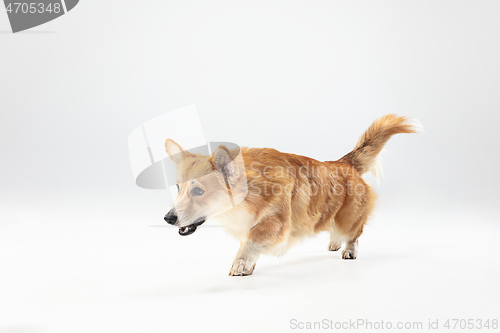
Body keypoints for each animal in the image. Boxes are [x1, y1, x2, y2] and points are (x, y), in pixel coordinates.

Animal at [163, 114, 418, 274]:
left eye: (198, 190)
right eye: (178, 188)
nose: (168, 218)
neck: (250, 194)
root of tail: (345, 163)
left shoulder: (277, 221)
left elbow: (252, 238)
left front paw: (242, 263)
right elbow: (250, 240)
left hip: (350, 218)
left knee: (353, 233)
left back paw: (348, 250)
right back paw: (334, 243)